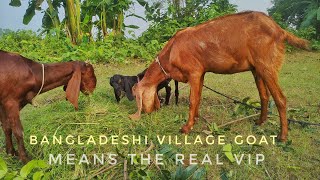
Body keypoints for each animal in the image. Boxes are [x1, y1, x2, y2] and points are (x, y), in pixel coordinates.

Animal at [129, 11, 310, 143]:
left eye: (137, 97)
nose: (148, 112)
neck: (172, 51)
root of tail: (279, 30)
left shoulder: (194, 72)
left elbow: (192, 100)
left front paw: (187, 127)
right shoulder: (201, 73)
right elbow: (198, 97)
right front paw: (195, 119)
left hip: (267, 65)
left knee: (280, 99)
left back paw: (282, 136)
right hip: (256, 69)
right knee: (264, 96)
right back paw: (260, 122)